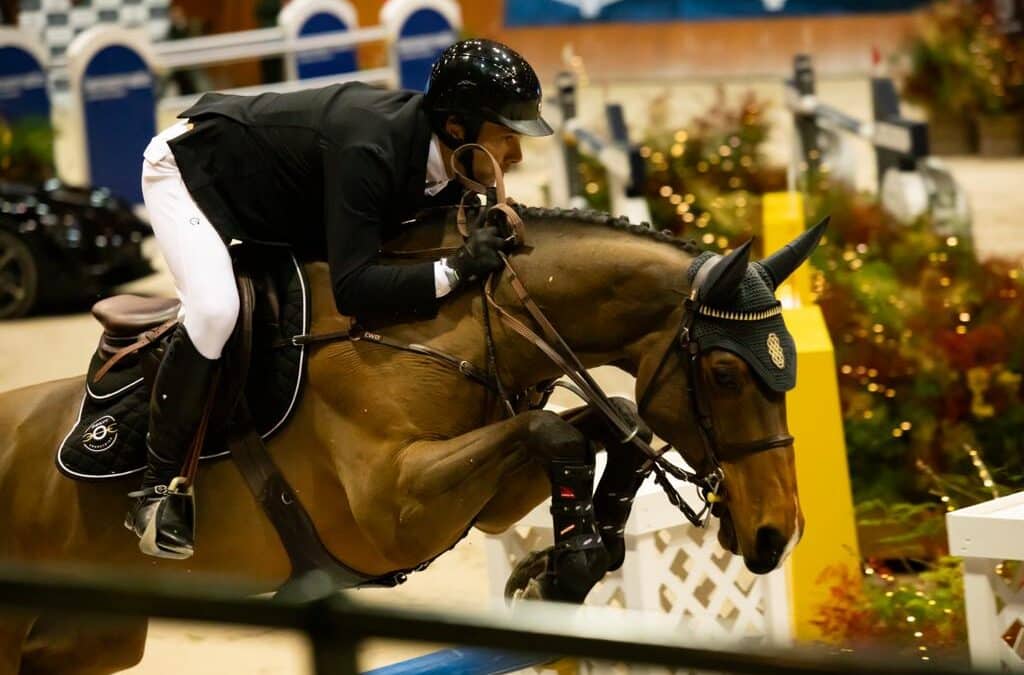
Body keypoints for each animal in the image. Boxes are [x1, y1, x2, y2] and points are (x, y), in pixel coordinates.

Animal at [0, 205, 815, 675]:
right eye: (725, 373)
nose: (777, 534)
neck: (442, 325)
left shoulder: (487, 498)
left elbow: (611, 418)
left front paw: (571, 558)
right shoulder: (393, 509)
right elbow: (554, 430)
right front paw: (563, 567)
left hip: (86, 639)